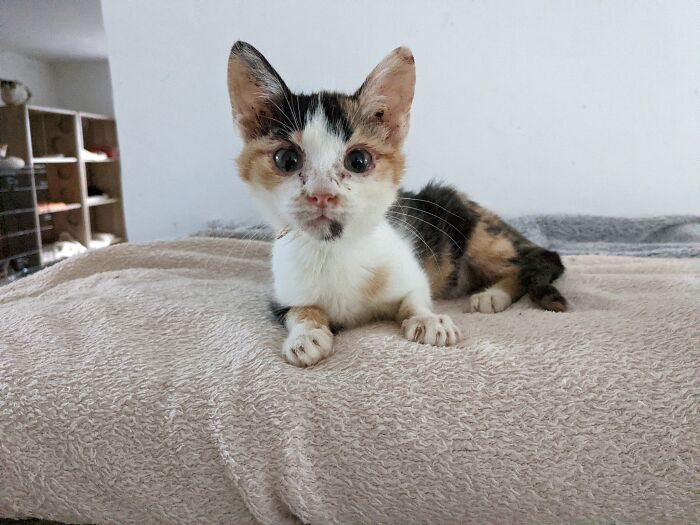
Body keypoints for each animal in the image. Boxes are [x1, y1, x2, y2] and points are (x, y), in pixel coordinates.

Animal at [227, 41, 568, 366]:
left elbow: (415, 296)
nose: (321, 193)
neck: (334, 250)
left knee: (533, 262)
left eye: (358, 160)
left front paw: (429, 320)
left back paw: (493, 294)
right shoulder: (281, 296)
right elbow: (300, 310)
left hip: (474, 230)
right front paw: (306, 335)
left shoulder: (410, 269)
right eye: (286, 159)